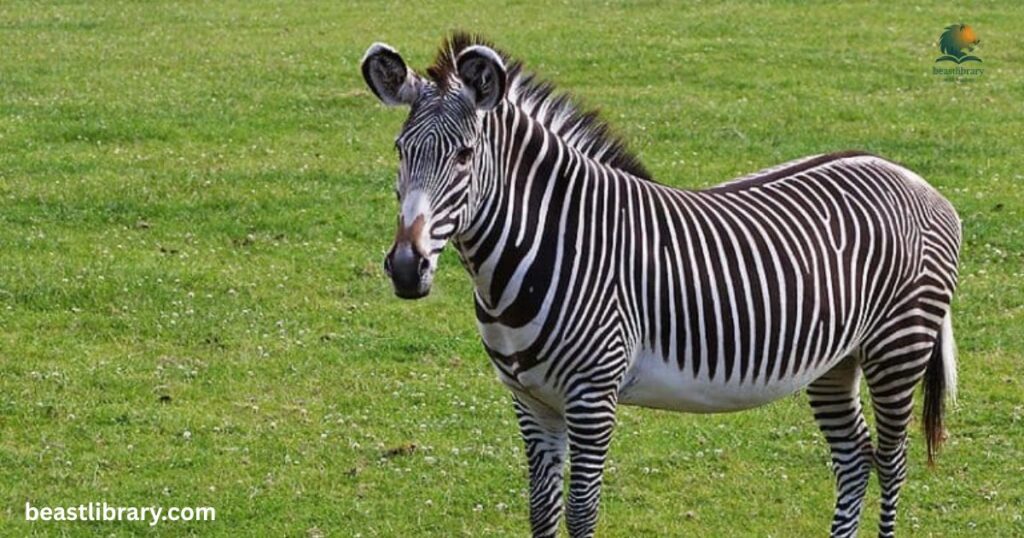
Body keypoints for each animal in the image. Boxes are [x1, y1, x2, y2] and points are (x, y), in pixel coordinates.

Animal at [361, 33, 961, 537]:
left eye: (464, 155)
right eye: (400, 150)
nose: (408, 268)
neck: (550, 242)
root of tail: (910, 176)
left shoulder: (592, 396)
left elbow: (581, 513)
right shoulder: (529, 399)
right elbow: (541, 511)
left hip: (898, 347)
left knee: (892, 462)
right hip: (837, 360)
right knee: (855, 458)